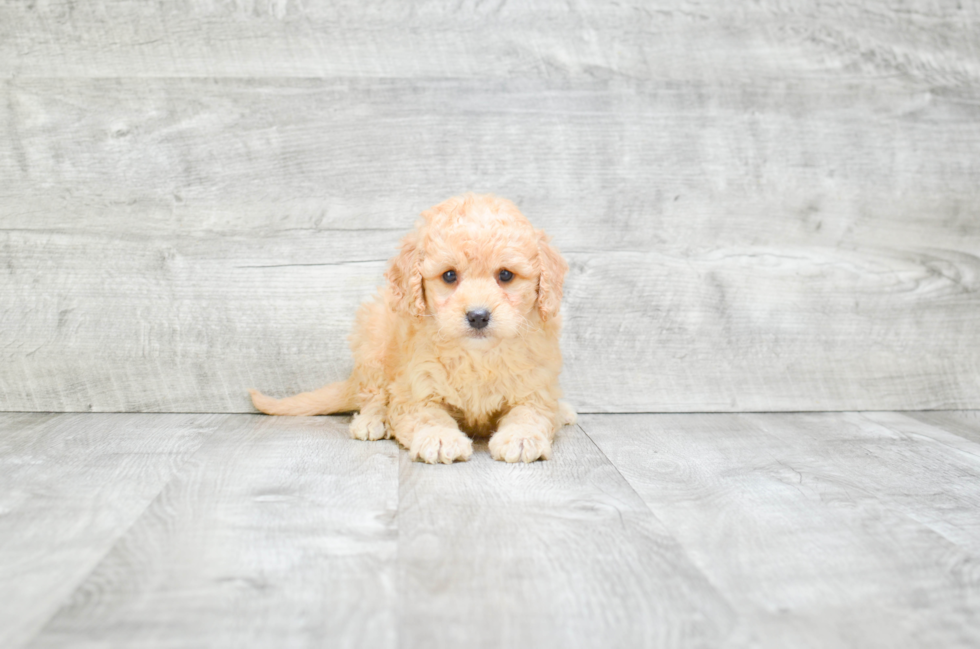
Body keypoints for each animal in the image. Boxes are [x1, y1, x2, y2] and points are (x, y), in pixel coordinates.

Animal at [249, 192, 580, 460]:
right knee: (373, 395)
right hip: (373, 338)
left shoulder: (535, 386)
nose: (478, 316)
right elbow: (427, 416)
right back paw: (372, 421)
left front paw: (522, 437)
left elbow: (531, 413)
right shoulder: (415, 388)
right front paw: (441, 438)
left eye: (506, 275)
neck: (477, 355)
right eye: (449, 276)